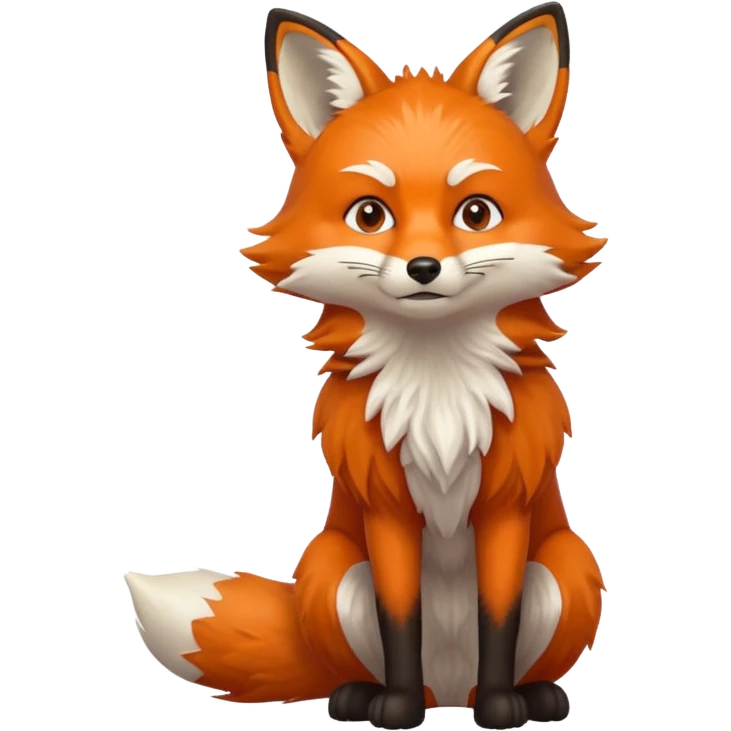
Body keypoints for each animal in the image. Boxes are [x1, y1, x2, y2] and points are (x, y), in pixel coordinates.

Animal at [124, 4, 607, 729]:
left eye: (475, 212)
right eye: (370, 214)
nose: (423, 268)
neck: (437, 390)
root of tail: (449, 689)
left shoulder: (505, 507)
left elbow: (498, 615)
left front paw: (501, 708)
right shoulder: (385, 508)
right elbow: (397, 615)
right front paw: (396, 708)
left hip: (566, 569)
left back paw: (527, 696)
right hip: (331, 571)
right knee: (359, 661)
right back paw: (365, 695)